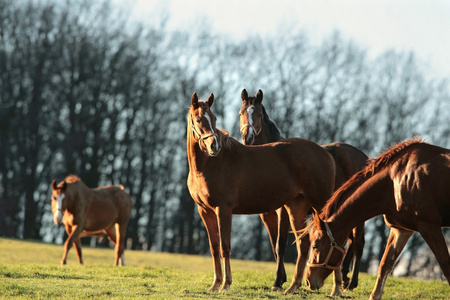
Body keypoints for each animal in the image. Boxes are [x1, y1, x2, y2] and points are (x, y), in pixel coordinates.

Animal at [185, 92, 336, 292]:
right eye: (198, 119)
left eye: (214, 119)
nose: (214, 146)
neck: (209, 164)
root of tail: (326, 153)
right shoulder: (205, 211)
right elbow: (215, 247)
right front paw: (215, 284)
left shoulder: (223, 209)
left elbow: (225, 247)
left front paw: (226, 284)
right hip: (297, 208)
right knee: (304, 244)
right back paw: (293, 287)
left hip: (320, 204)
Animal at [241, 88, 368, 294]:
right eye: (241, 113)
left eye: (259, 114)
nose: (248, 137)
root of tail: (363, 157)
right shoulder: (268, 215)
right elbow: (274, 244)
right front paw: (282, 278)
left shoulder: (283, 211)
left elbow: (281, 244)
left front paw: (277, 281)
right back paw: (344, 276)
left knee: (358, 243)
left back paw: (351, 282)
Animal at [302, 137, 450, 298]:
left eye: (315, 246)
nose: (308, 280)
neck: (396, 179)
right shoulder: (401, 230)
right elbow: (384, 266)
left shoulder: (429, 227)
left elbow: (446, 265)